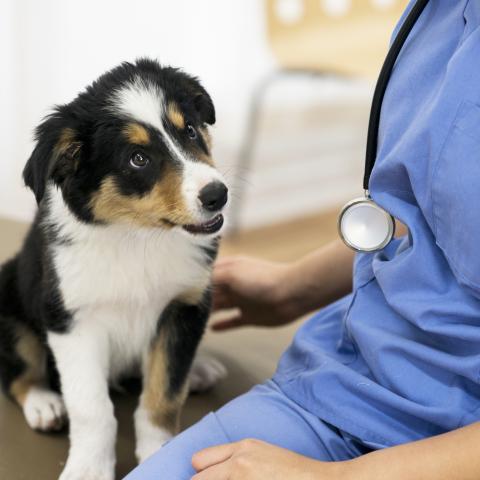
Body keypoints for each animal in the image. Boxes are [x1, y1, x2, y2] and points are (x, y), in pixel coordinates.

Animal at [0, 59, 229, 480]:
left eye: (190, 130)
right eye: (137, 158)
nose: (217, 194)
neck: (137, 238)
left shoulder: (184, 306)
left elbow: (163, 393)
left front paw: (158, 453)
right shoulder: (72, 319)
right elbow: (91, 408)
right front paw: (88, 468)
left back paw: (199, 369)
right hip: (10, 292)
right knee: (18, 371)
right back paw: (44, 403)